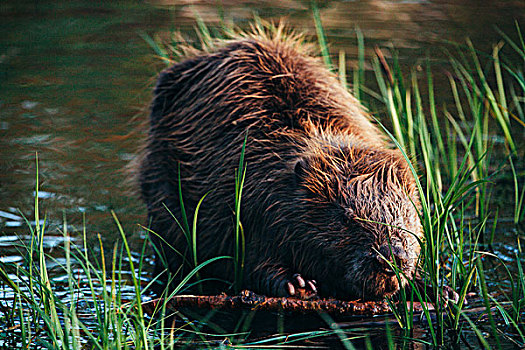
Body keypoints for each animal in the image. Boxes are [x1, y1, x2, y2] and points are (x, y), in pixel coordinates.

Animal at [138, 25, 422, 300]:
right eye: (346, 217)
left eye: (407, 215)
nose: (393, 257)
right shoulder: (251, 210)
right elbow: (253, 263)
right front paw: (299, 284)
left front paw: (430, 285)